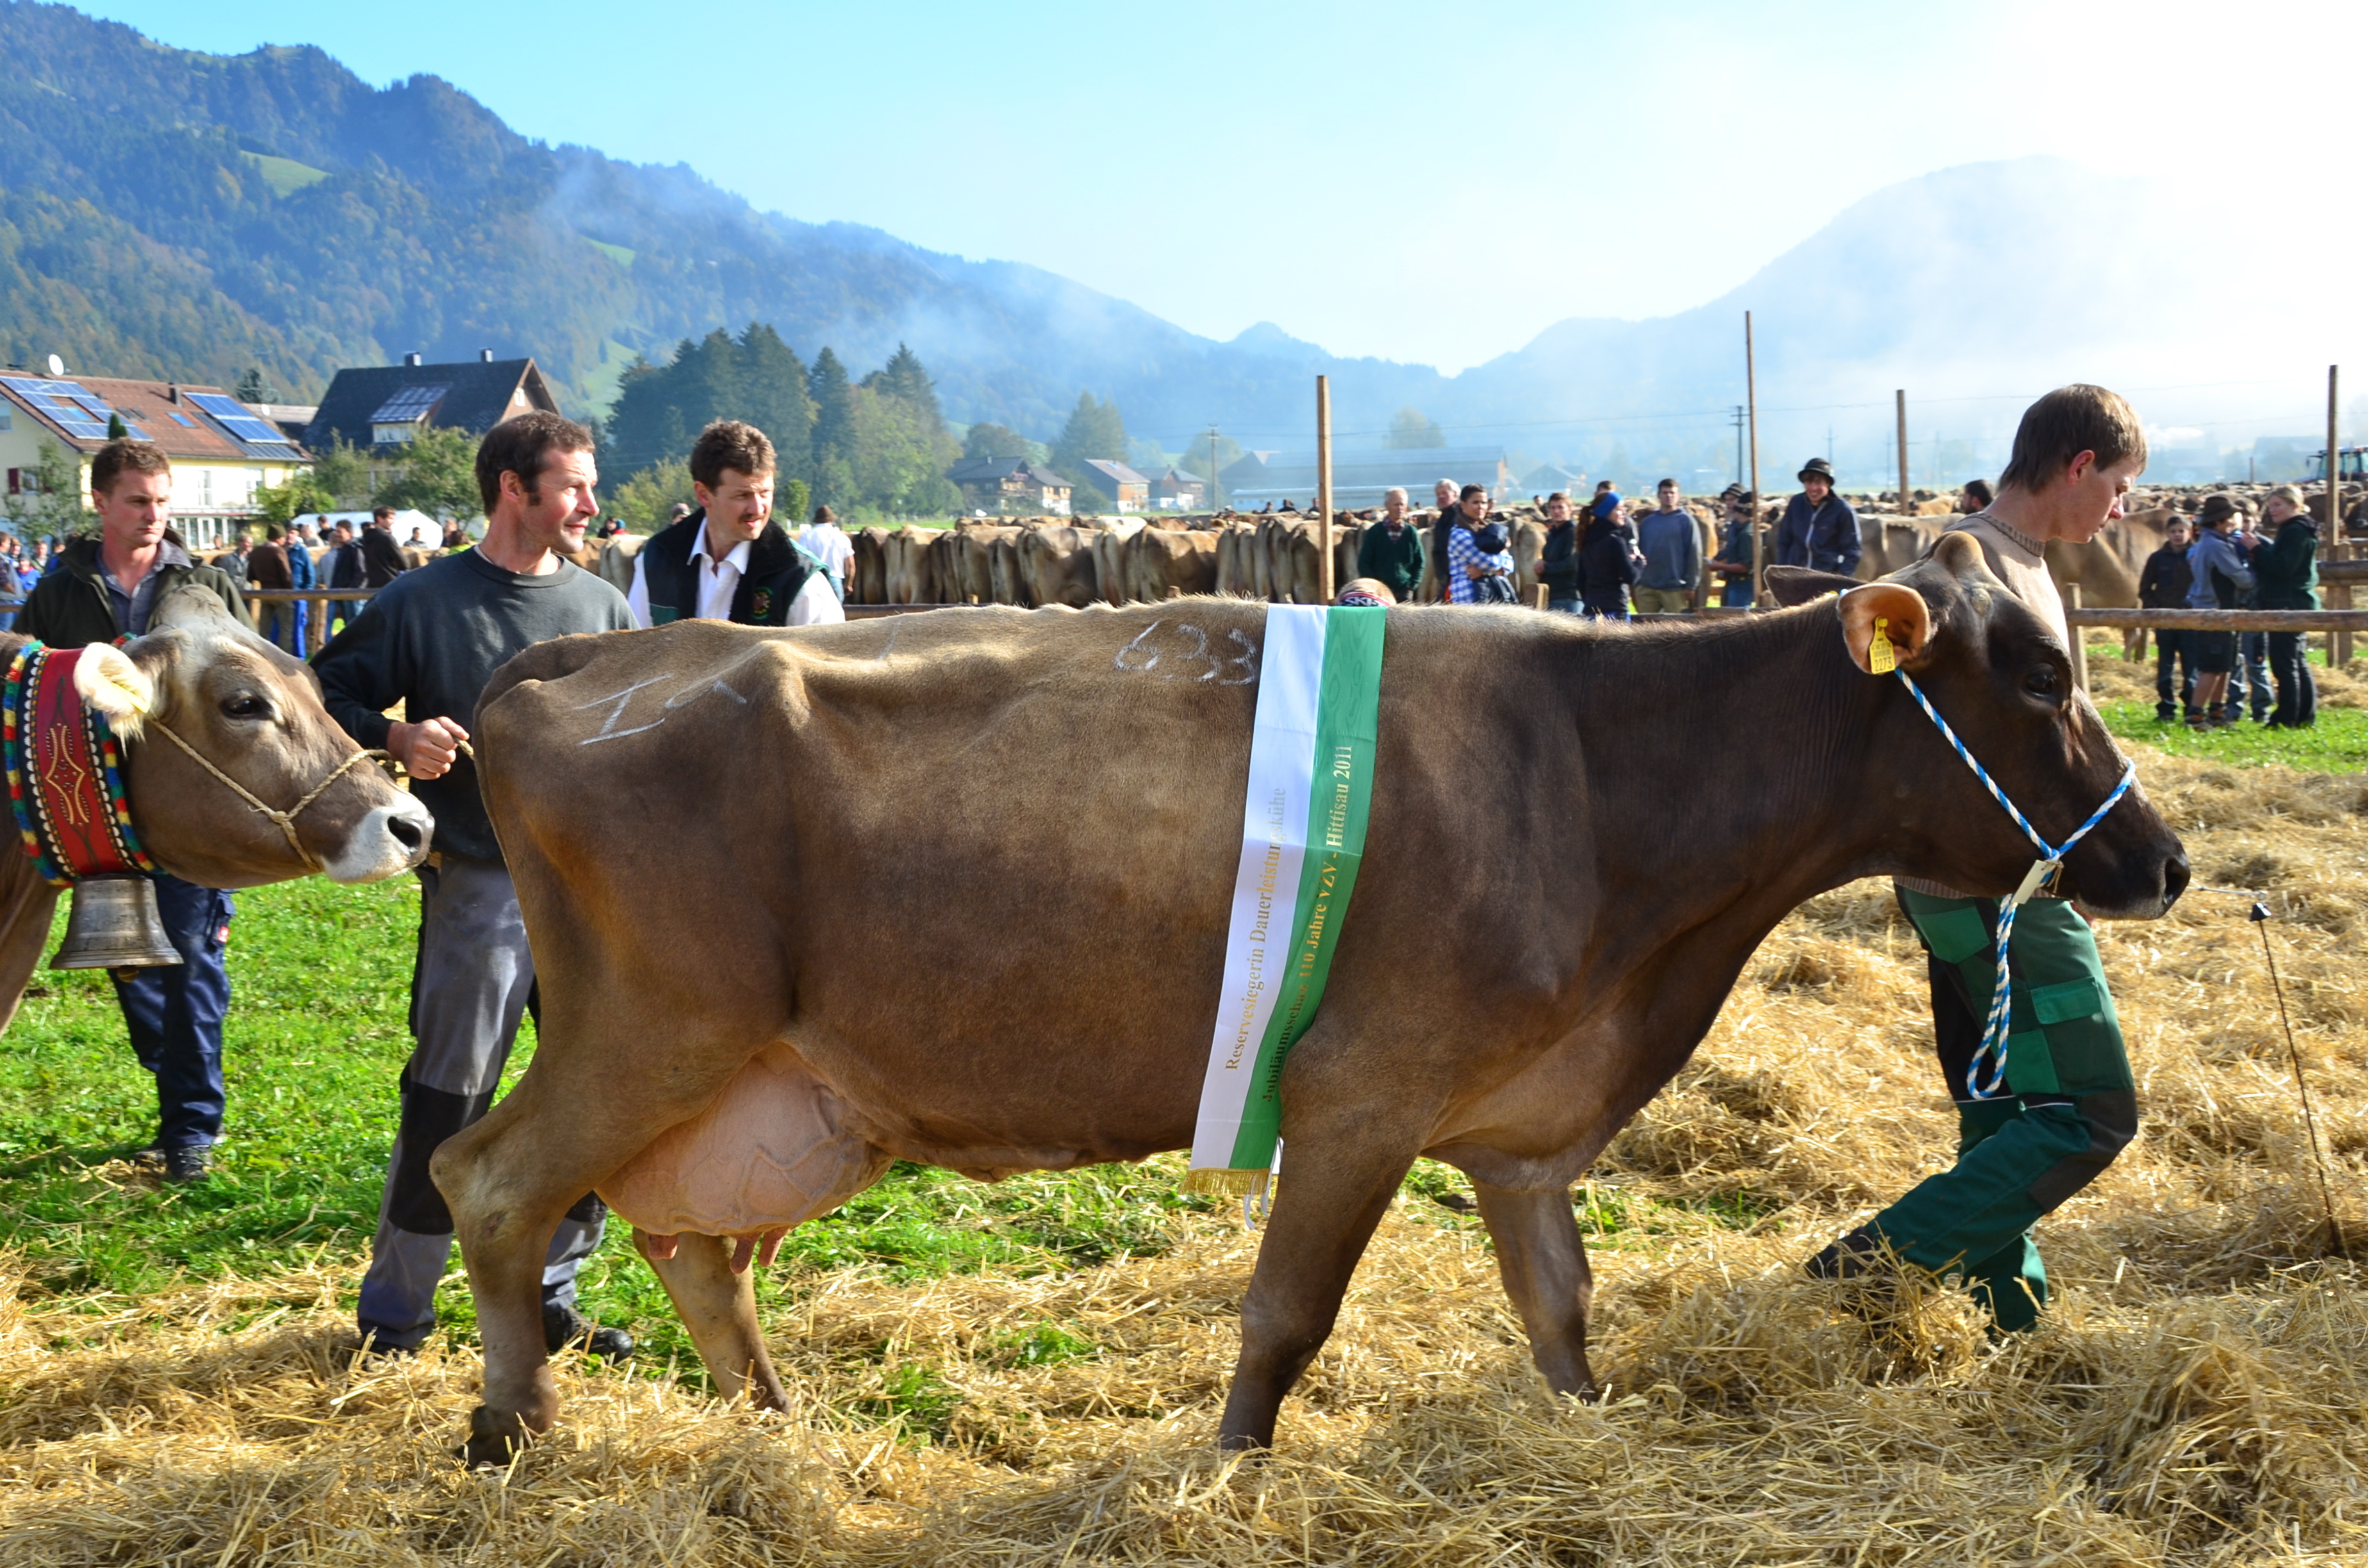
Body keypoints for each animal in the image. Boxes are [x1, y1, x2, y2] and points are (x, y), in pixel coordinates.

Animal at [436, 532, 2187, 1463]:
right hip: (653, 1027)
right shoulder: (1360, 1092)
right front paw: (1225, 1474)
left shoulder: (1523, 1124)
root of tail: (585, 661)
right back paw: (515, 1431)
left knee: (693, 1245)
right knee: (491, 1181)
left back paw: (775, 1428)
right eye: (2039, 675)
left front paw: (1582, 1433)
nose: (2160, 859)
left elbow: (1559, 1304)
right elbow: (1287, 1315)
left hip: (765, 1088)